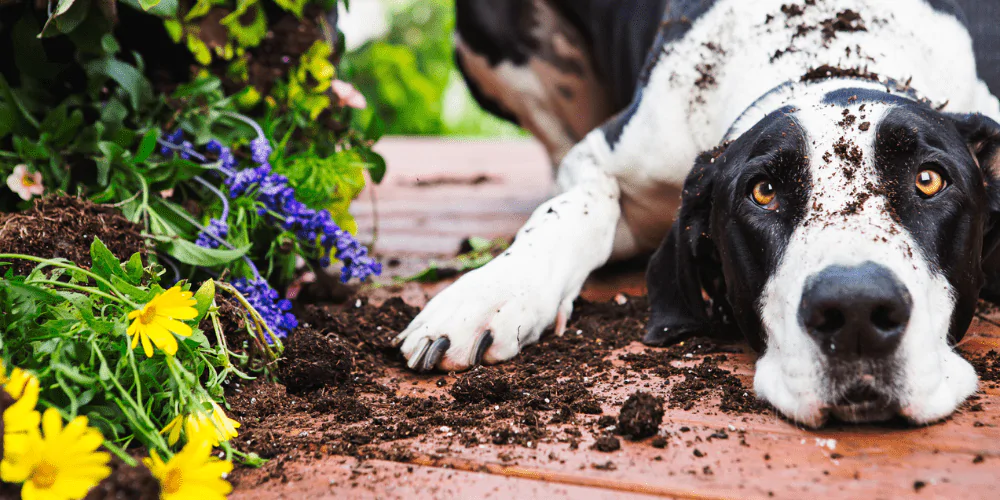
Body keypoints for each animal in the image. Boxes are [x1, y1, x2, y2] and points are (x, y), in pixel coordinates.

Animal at [394, 0, 1000, 428]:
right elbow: (573, 208)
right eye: (763, 192)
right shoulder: (602, 157)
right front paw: (491, 292)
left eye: (929, 180)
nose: (855, 312)